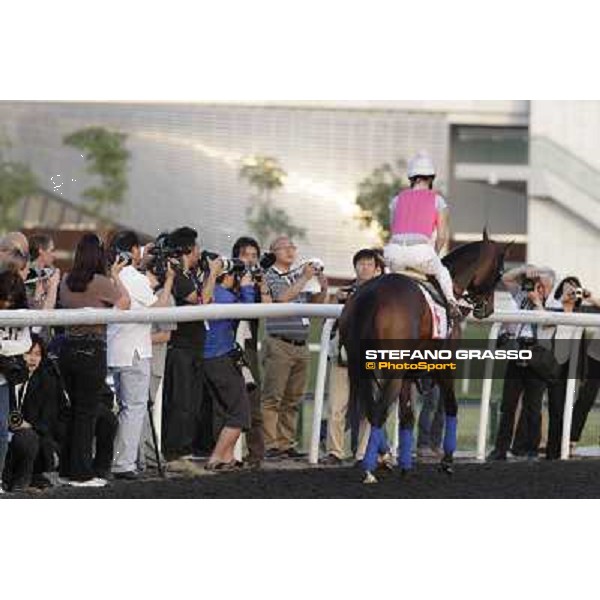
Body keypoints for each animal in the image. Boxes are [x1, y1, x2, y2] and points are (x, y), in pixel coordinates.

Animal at [340, 230, 508, 482]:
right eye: (499, 274)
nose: (488, 309)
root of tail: (371, 296)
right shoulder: (444, 366)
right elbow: (451, 407)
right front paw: (447, 462)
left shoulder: (409, 374)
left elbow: (407, 416)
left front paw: (405, 465)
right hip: (391, 369)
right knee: (378, 411)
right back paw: (370, 467)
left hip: (361, 366)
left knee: (370, 410)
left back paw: (382, 457)